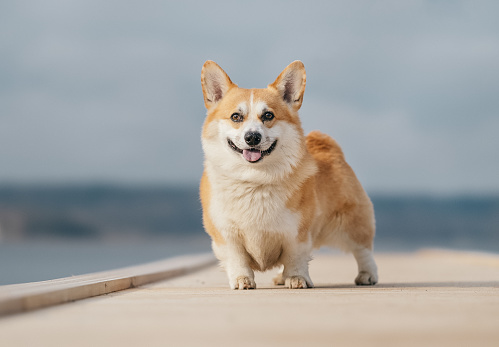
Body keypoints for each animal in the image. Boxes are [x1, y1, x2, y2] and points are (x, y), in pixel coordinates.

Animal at [199, 60, 378, 290]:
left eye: (268, 115)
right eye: (236, 117)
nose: (252, 137)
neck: (255, 179)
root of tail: (326, 144)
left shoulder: (297, 234)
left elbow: (295, 258)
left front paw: (297, 278)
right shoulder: (226, 235)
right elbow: (237, 259)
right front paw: (242, 280)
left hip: (352, 223)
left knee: (363, 250)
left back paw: (367, 275)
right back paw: (279, 277)